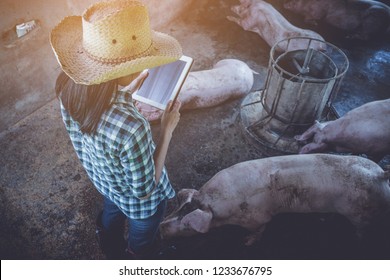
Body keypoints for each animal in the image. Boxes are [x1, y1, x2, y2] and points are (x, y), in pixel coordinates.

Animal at [160, 153, 390, 243]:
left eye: (187, 225)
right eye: (177, 208)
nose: (160, 227)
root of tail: (380, 174)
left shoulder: (259, 218)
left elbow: (260, 230)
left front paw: (247, 242)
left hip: (361, 213)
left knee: (363, 229)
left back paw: (356, 239)